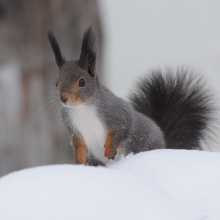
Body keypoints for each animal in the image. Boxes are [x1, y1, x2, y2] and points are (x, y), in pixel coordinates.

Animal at [47, 26, 214, 166]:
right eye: (56, 83)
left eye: (82, 82)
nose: (63, 99)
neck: (82, 108)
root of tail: (165, 145)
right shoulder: (72, 127)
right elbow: (79, 145)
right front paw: (80, 161)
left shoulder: (117, 113)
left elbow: (123, 128)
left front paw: (109, 149)